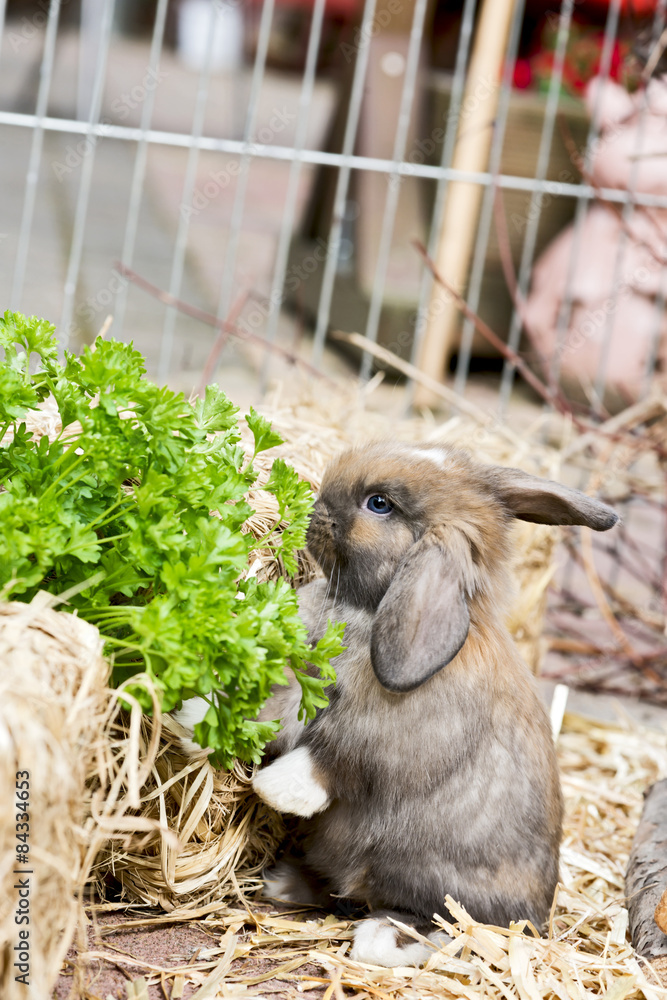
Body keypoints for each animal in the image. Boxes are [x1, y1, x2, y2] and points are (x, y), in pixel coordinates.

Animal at [250, 442, 618, 968]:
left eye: (379, 504)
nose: (312, 509)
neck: (372, 609)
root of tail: (537, 920)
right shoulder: (301, 690)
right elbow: (272, 711)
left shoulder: (381, 739)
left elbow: (331, 759)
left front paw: (272, 789)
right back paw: (283, 881)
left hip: (431, 884)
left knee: (453, 925)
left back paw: (380, 937)